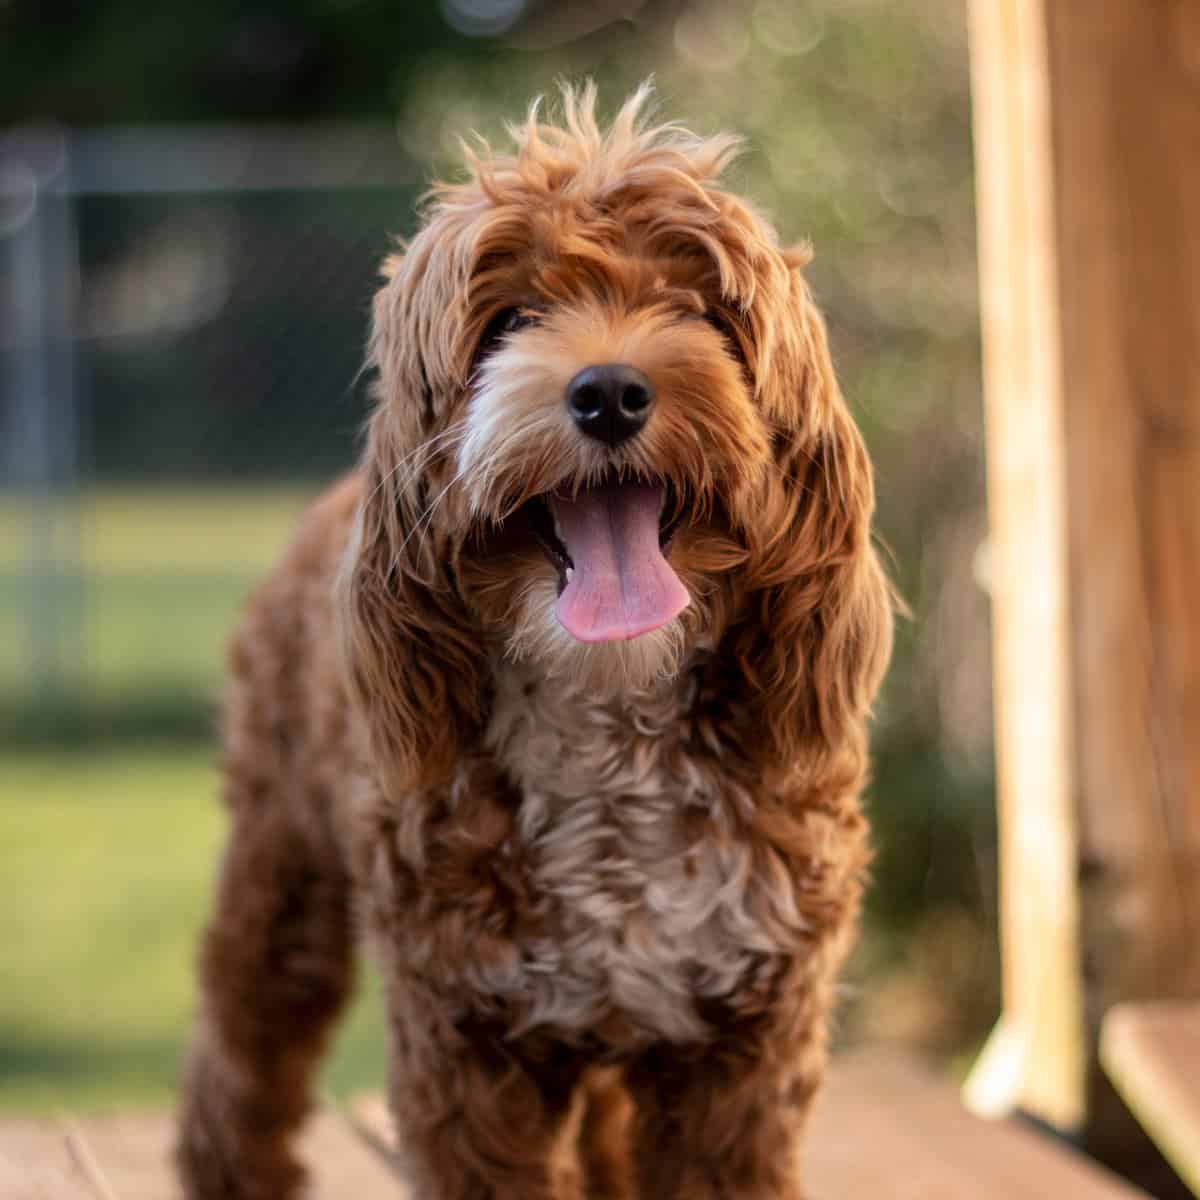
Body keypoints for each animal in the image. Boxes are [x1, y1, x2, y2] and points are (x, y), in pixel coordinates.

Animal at [175, 87, 892, 1200]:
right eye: (510, 320)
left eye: (700, 310)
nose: (609, 392)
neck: (610, 714)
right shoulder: (467, 1041)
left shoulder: (741, 1047)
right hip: (281, 864)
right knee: (245, 1045)